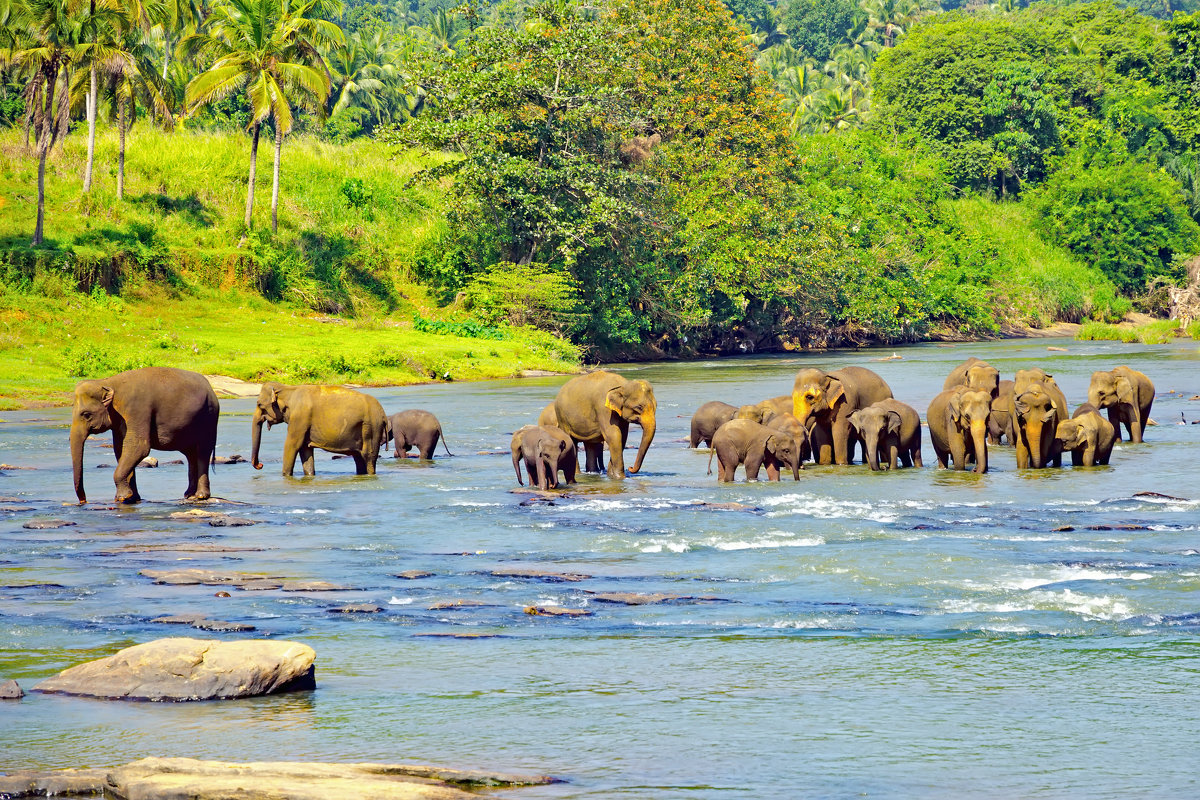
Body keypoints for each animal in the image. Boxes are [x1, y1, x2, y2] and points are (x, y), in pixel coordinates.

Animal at [70, 367, 220, 503]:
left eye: (86, 415)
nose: (83, 501)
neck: (108, 381)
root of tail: (210, 387)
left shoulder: (137, 410)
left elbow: (138, 448)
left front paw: (122, 497)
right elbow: (120, 450)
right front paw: (131, 498)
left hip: (209, 417)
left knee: (202, 452)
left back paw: (200, 496)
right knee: (191, 455)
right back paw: (189, 495)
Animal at [250, 383, 386, 474]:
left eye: (259, 404)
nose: (260, 465)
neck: (287, 388)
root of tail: (383, 414)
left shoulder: (300, 417)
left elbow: (292, 445)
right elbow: (305, 449)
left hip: (371, 427)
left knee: (368, 457)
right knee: (358, 458)